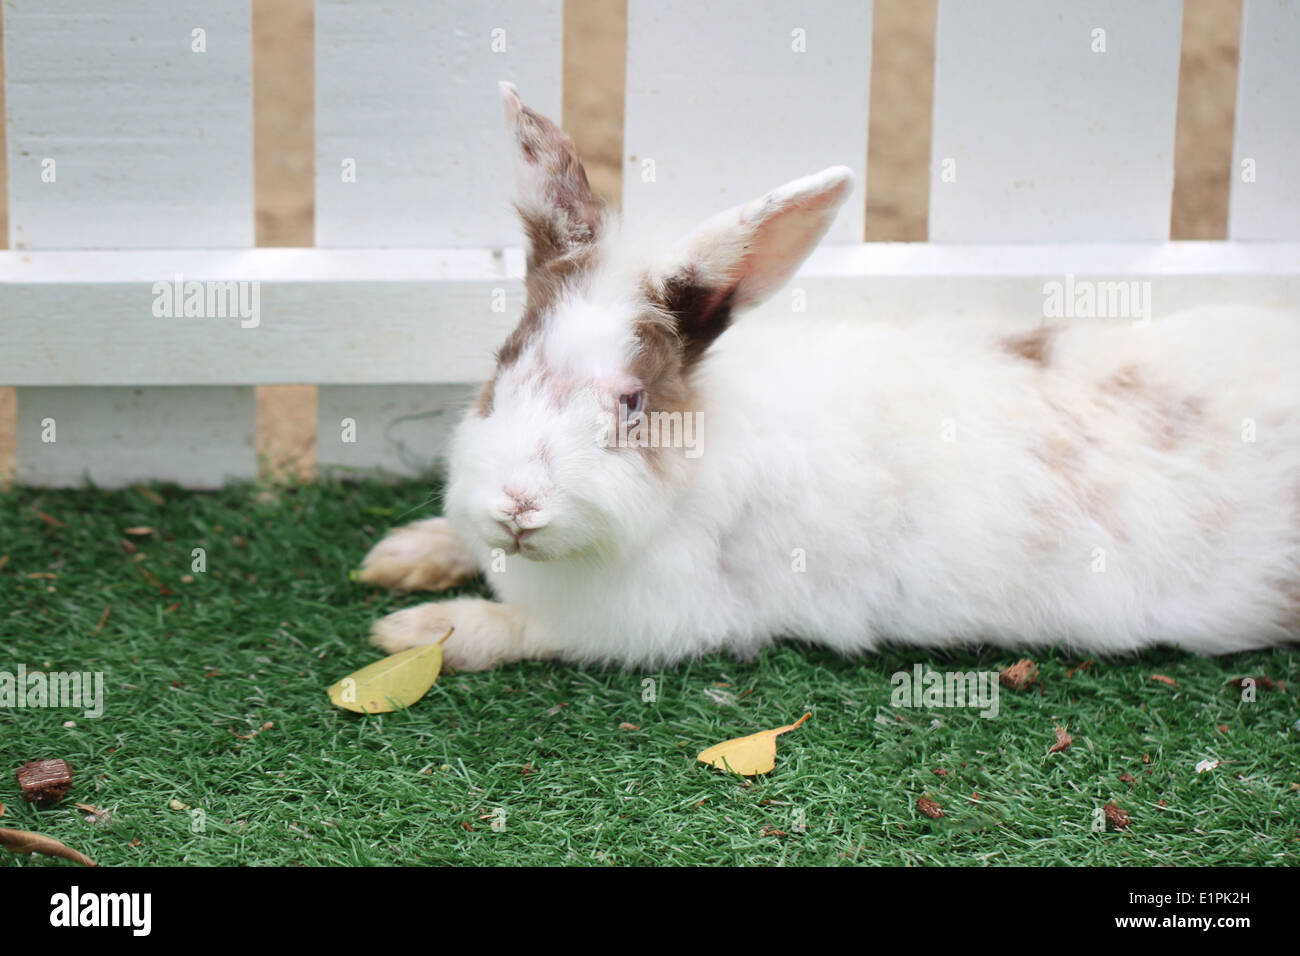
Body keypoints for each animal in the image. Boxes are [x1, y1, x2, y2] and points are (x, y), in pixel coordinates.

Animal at [358, 83, 1300, 671]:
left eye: (632, 404)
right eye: (502, 365)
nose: (518, 506)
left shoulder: (641, 622)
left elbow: (514, 627)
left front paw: (413, 627)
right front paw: (402, 555)